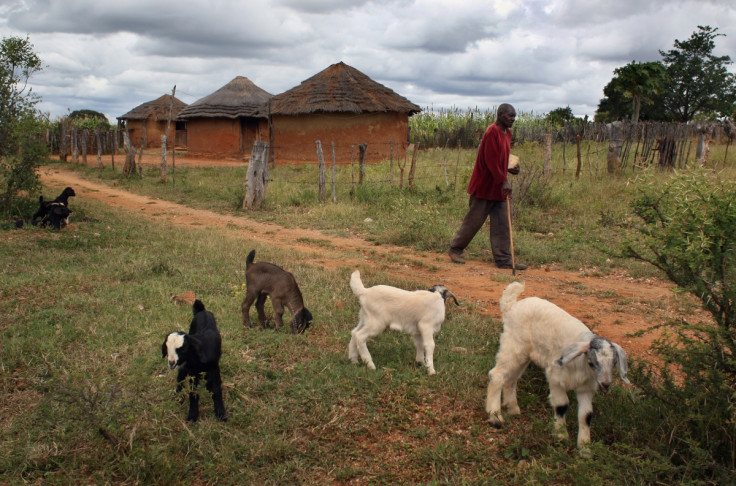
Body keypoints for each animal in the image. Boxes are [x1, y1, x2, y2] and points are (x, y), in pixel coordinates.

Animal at [486, 280, 628, 448]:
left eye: (614, 363)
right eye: (592, 362)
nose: (605, 384)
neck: (581, 365)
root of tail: (511, 306)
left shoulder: (586, 389)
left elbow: (586, 416)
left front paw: (585, 447)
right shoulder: (555, 376)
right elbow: (562, 404)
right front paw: (561, 435)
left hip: (524, 354)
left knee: (511, 379)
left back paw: (512, 408)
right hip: (513, 345)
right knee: (497, 375)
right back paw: (496, 418)